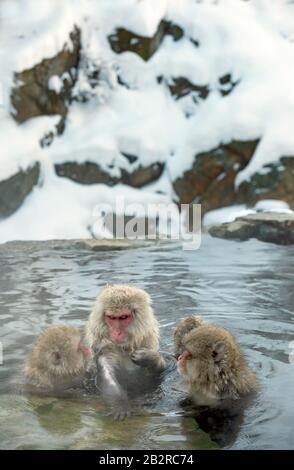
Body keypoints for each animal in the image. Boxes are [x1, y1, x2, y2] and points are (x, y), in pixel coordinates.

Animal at [86, 284, 167, 420]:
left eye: (123, 317)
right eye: (112, 318)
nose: (117, 332)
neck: (124, 349)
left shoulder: (147, 345)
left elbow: (159, 373)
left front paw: (150, 357)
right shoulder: (105, 350)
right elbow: (107, 376)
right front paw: (120, 404)